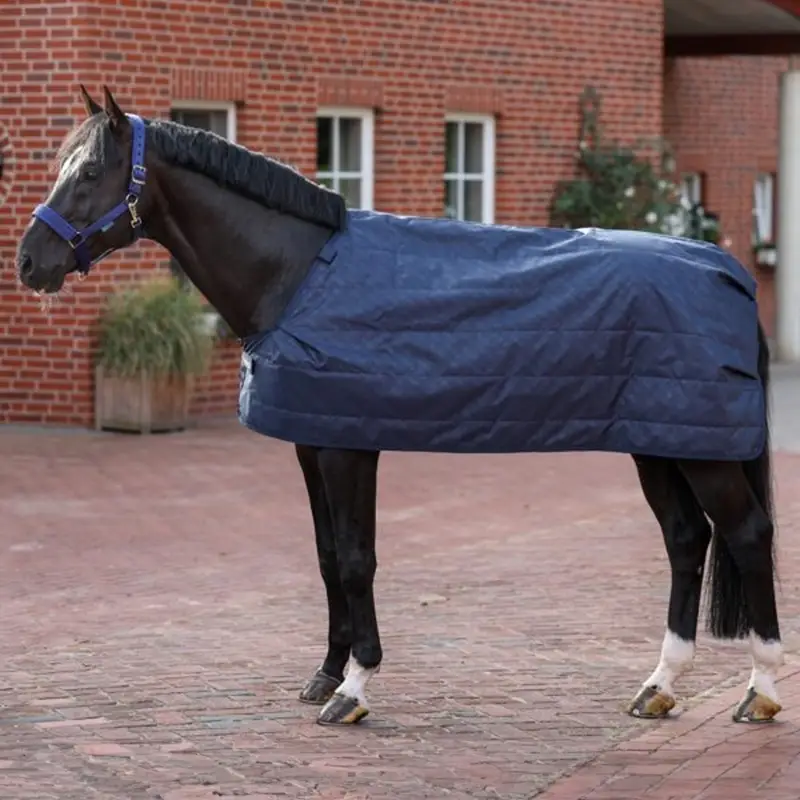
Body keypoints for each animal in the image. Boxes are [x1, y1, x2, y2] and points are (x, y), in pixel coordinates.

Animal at [16, 85, 782, 727]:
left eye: (90, 173)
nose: (29, 262)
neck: (298, 275)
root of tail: (728, 271)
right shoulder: (312, 440)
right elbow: (328, 555)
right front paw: (325, 674)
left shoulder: (349, 445)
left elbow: (358, 558)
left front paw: (354, 689)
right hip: (662, 440)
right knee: (686, 539)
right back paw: (660, 684)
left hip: (699, 451)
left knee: (746, 534)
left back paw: (762, 689)